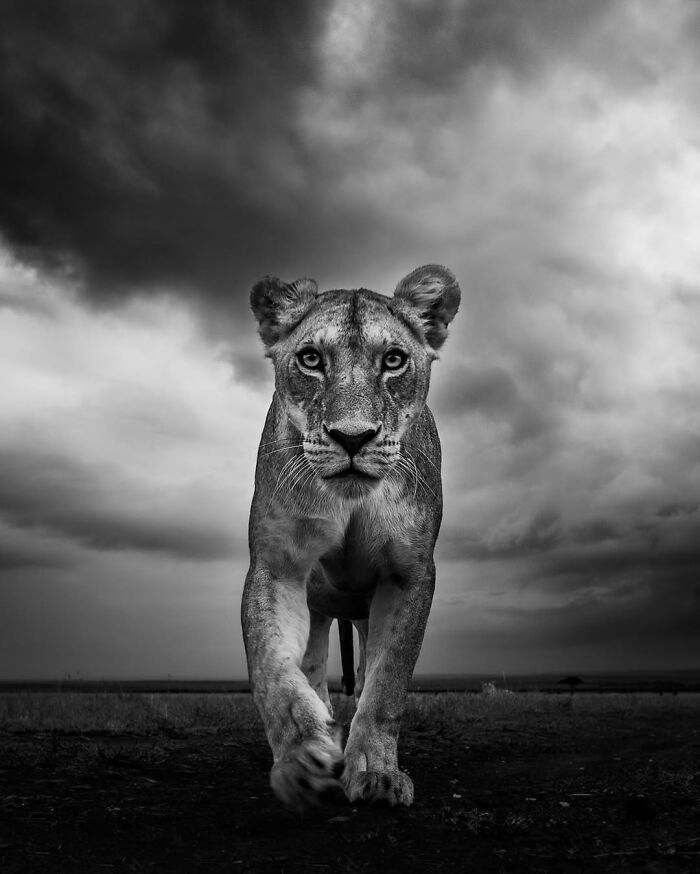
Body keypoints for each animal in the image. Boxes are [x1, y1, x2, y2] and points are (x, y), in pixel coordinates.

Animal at [242, 264, 460, 809]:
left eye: (394, 360)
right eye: (311, 359)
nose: (353, 437)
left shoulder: (407, 575)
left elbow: (386, 683)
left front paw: (376, 773)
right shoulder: (276, 568)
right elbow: (272, 668)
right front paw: (302, 757)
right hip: (319, 608)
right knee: (313, 665)